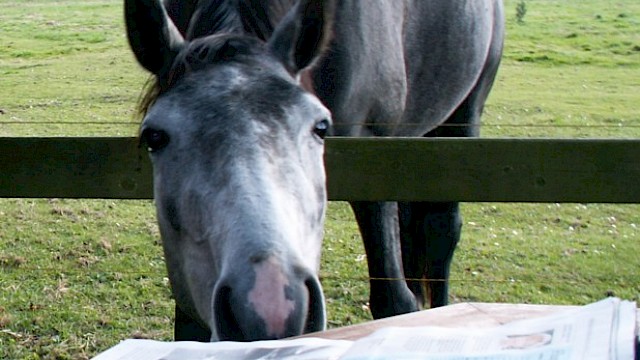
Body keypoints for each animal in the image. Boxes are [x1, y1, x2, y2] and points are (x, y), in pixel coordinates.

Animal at [126, 0, 504, 344]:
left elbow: (394, 302)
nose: (270, 307)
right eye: (154, 136)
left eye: (321, 127)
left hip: (461, 118)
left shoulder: (376, 158)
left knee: (441, 229)